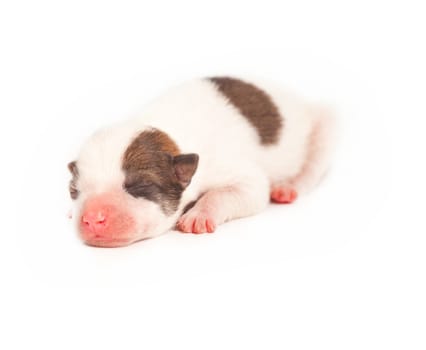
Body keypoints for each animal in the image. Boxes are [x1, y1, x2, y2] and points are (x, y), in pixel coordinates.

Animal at [67, 76, 336, 246]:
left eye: (140, 186)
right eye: (74, 191)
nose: (92, 218)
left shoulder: (235, 172)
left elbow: (242, 190)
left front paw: (199, 214)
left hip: (324, 122)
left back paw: (289, 186)